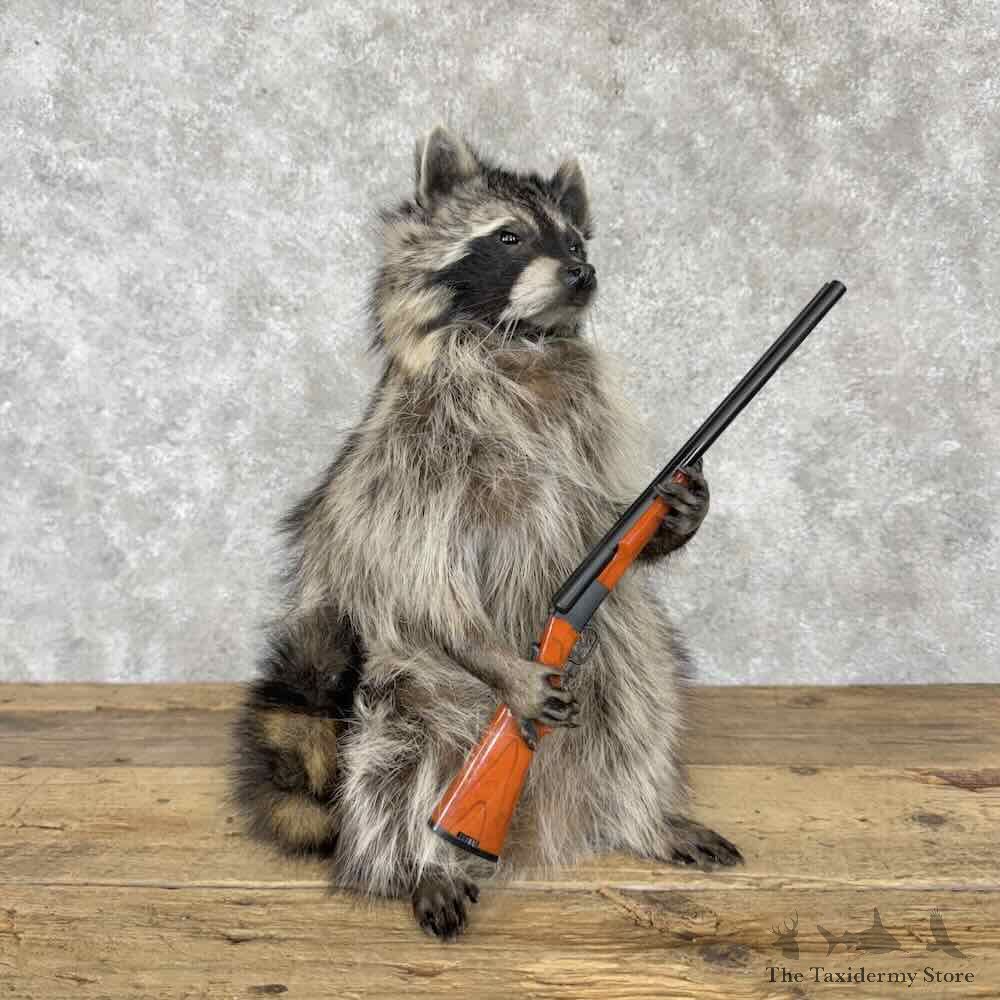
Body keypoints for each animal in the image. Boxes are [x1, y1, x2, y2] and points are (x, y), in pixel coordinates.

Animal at [230, 125, 742, 940]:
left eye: (576, 239)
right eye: (508, 237)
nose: (582, 272)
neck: (517, 344)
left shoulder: (586, 432)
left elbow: (604, 514)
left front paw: (681, 512)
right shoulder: (413, 454)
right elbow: (417, 571)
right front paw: (503, 667)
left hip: (615, 654)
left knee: (638, 696)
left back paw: (641, 814)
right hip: (403, 682)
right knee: (402, 751)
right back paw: (421, 859)